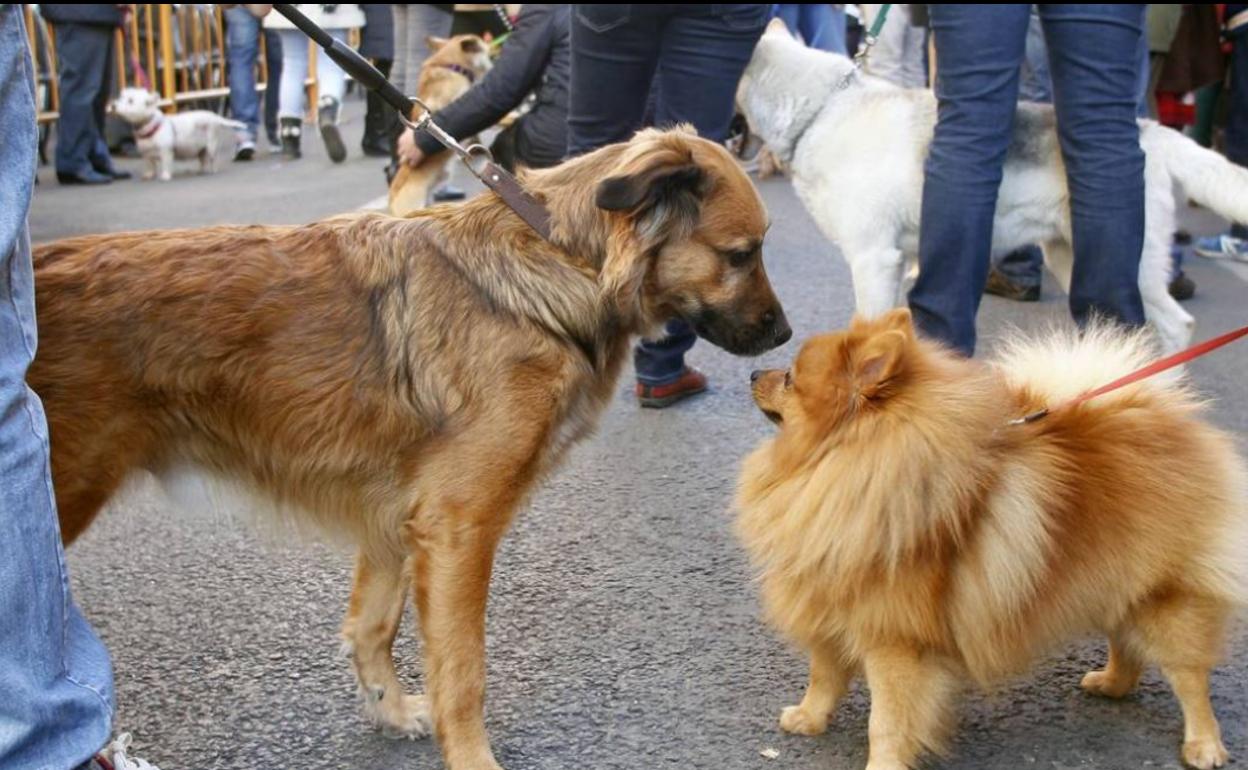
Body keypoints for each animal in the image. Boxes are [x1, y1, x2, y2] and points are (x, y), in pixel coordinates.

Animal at [36, 127, 788, 768]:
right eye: (741, 253)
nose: (783, 337)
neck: (562, 260)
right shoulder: (460, 528)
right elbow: (464, 670)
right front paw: (474, 758)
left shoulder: (398, 519)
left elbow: (372, 627)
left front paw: (391, 712)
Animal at [113, 87, 247, 182]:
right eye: (121, 97)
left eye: (130, 101)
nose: (113, 105)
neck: (150, 128)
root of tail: (214, 116)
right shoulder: (146, 154)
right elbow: (150, 165)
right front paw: (148, 175)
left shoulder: (166, 151)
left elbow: (166, 163)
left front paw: (165, 176)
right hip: (200, 149)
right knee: (202, 159)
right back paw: (201, 171)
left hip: (211, 144)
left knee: (212, 159)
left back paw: (213, 170)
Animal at [733, 21, 1248, 351]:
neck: (821, 110)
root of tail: (1148, 131)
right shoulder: (895, 263)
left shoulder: (873, 259)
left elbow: (870, 329)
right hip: (1070, 258)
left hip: (1137, 269)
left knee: (1178, 326)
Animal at [733, 308, 1243, 768]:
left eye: (790, 379)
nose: (755, 371)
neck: (838, 467)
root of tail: (1164, 418)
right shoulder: (830, 608)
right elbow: (824, 675)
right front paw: (808, 718)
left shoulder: (894, 640)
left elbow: (888, 721)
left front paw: (882, 763)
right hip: (1115, 581)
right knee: (1127, 643)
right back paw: (1111, 684)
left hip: (1168, 601)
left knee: (1190, 677)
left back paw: (1204, 745)